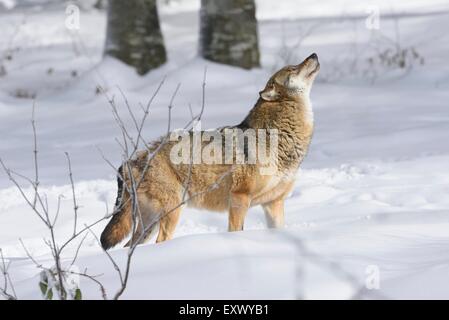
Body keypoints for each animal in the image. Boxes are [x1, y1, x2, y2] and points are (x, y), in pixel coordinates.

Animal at [100, 52, 320, 249]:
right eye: (292, 68)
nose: (314, 55)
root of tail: (132, 160)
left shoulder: (274, 203)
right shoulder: (239, 198)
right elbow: (235, 231)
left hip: (149, 223)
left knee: (129, 246)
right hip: (171, 212)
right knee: (158, 242)